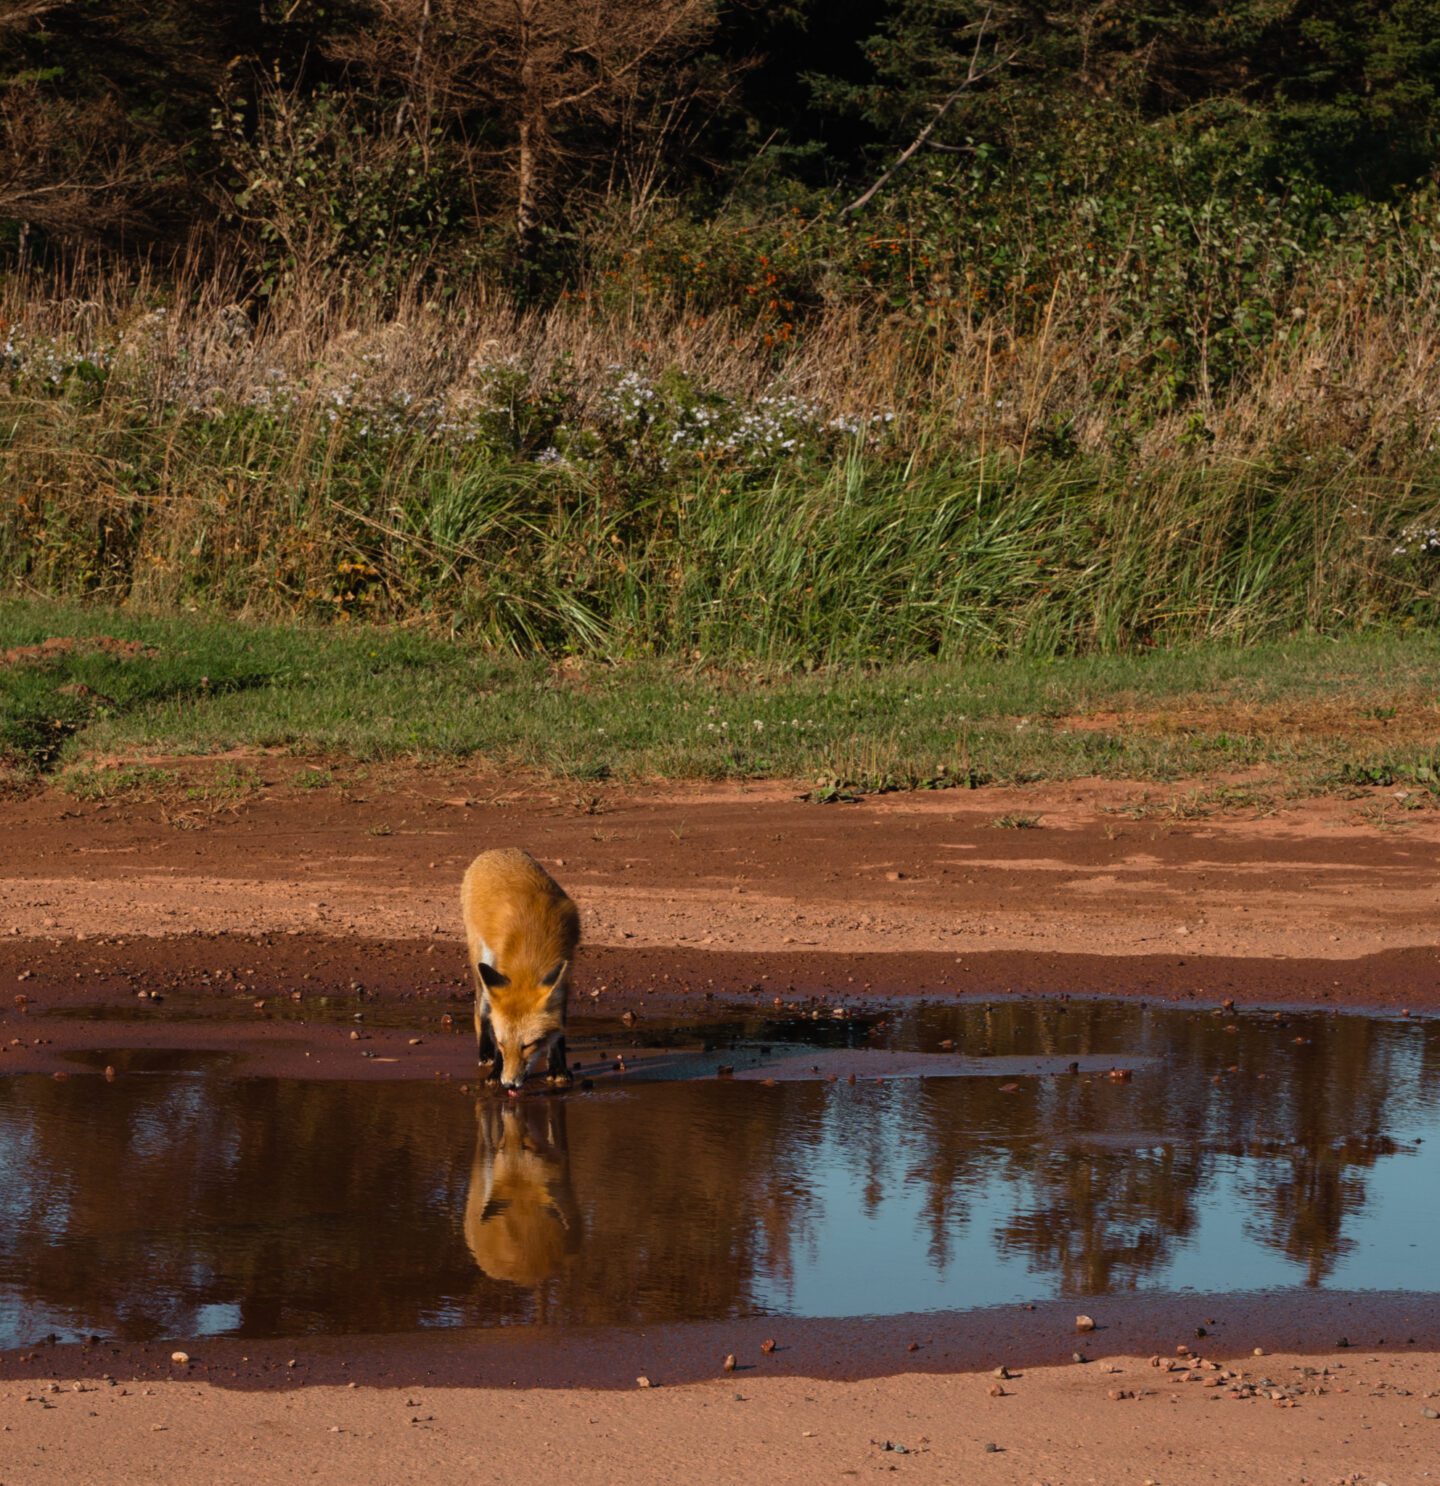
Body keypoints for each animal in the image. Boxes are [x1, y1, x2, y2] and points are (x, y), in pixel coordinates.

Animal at [457, 849, 576, 1093]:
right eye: (501, 1043)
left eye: (528, 1045)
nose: (509, 1083)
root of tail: (497, 850)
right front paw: (495, 1071)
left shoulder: (564, 974)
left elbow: (559, 1027)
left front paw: (558, 1067)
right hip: (482, 959)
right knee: (480, 1009)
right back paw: (484, 1053)